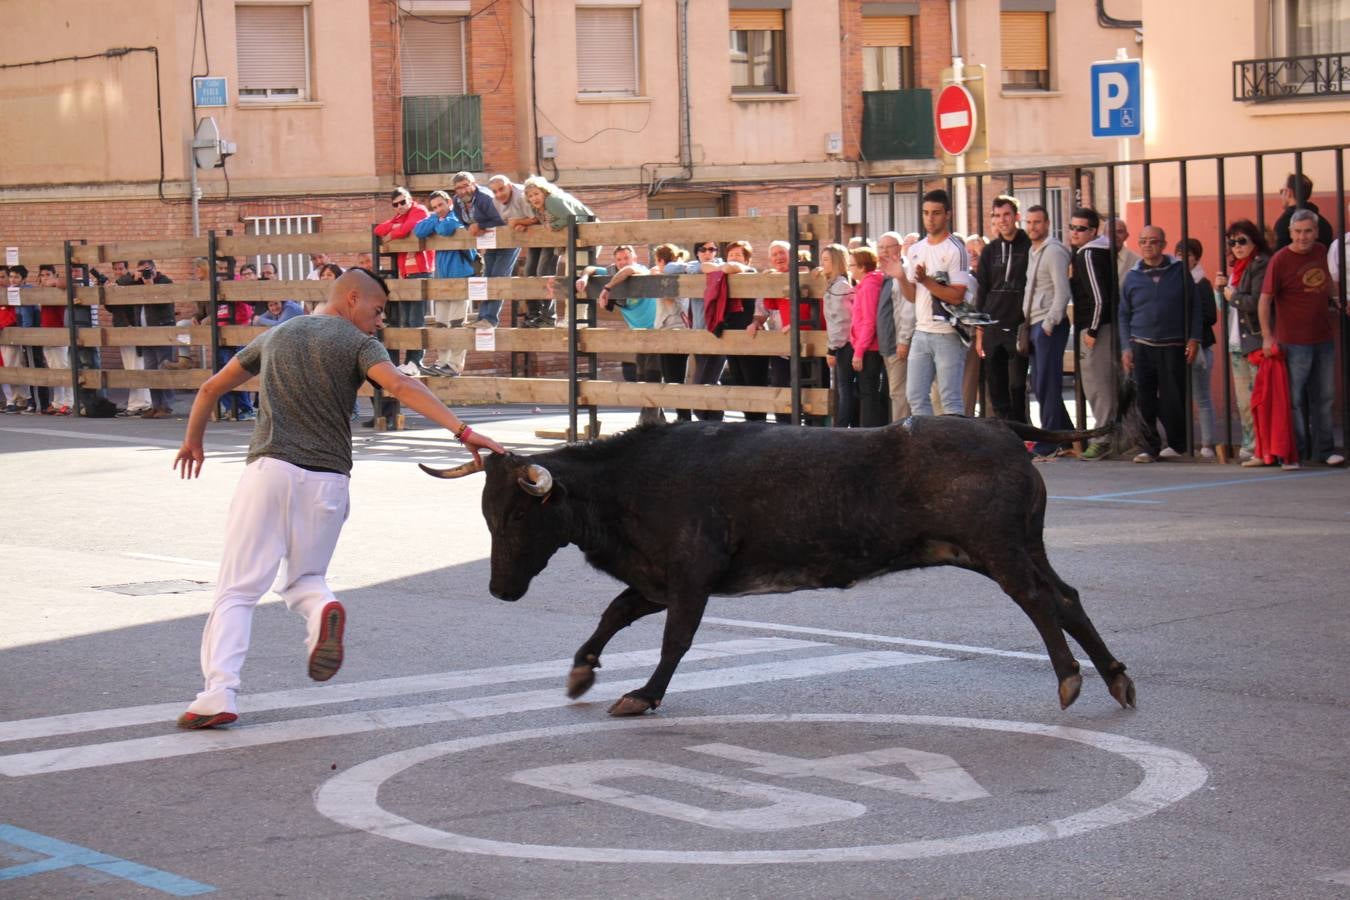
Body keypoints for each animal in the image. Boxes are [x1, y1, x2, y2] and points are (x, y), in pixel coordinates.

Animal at [423, 418, 1139, 723]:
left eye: (519, 514)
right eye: (488, 513)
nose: (501, 589)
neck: (629, 482)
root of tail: (1004, 435)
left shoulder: (690, 576)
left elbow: (675, 640)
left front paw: (642, 694)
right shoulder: (656, 579)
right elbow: (615, 613)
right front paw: (580, 672)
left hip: (999, 550)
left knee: (1040, 601)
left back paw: (1072, 680)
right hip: (1014, 546)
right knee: (1066, 597)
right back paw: (1115, 678)